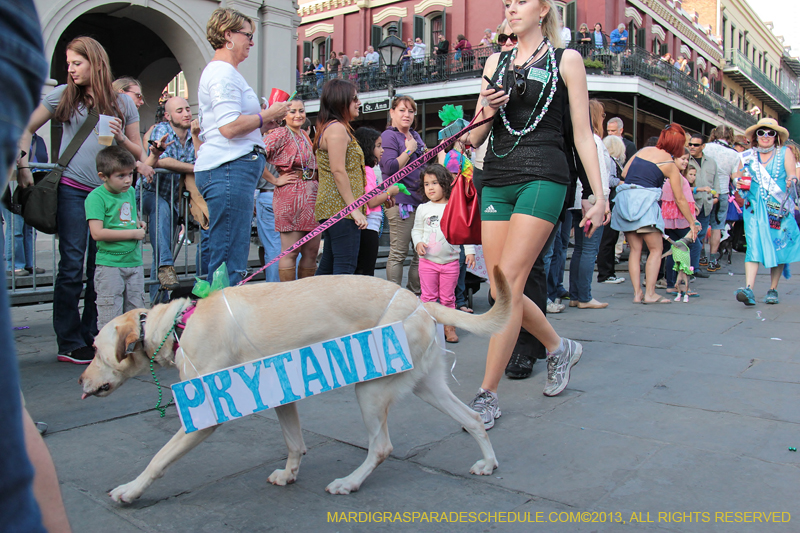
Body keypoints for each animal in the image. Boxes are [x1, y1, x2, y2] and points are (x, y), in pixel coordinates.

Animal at [79, 270, 506, 502]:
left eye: (95, 350)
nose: (80, 381)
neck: (178, 327)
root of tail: (417, 300)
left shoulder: (203, 417)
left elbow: (158, 459)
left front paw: (131, 490)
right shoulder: (280, 393)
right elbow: (294, 443)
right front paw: (289, 474)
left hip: (370, 390)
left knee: (381, 447)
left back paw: (350, 483)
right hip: (427, 386)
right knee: (470, 419)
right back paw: (487, 462)